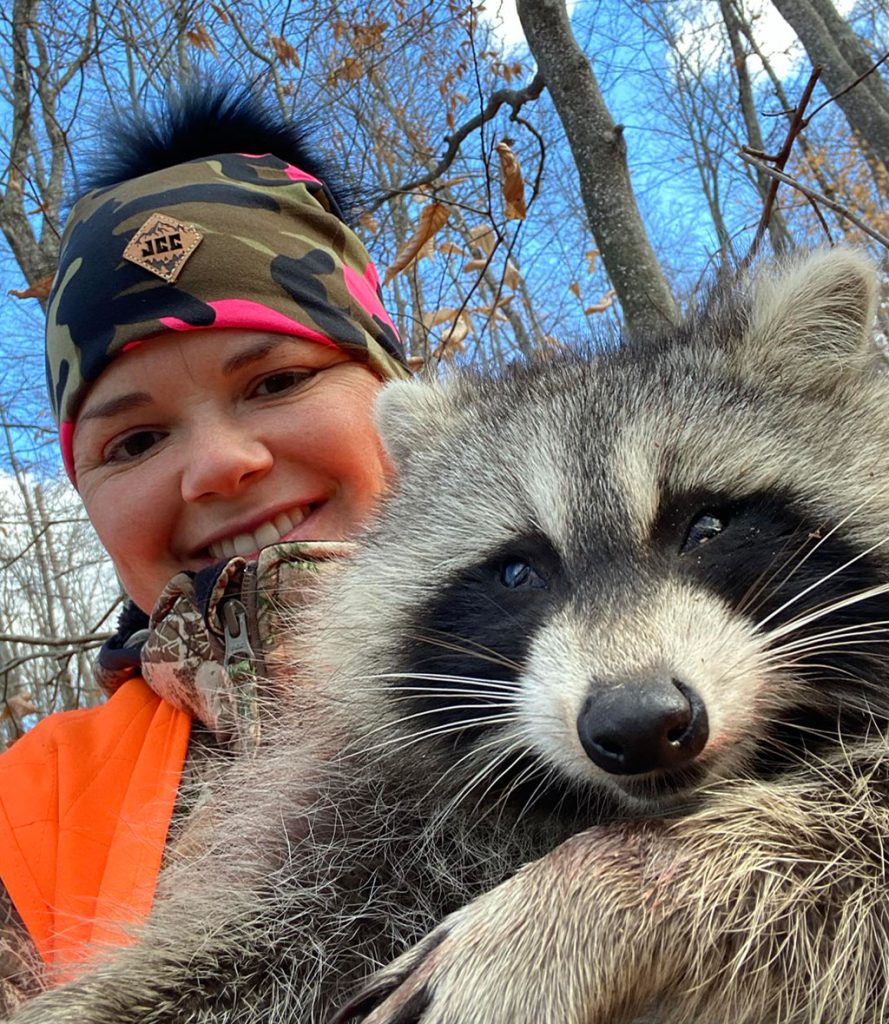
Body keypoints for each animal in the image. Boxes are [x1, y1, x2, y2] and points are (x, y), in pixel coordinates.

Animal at [8, 247, 889, 1024]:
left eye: (705, 526)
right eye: (518, 572)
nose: (639, 723)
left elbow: (848, 838)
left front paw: (606, 886)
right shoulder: (360, 816)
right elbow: (247, 943)